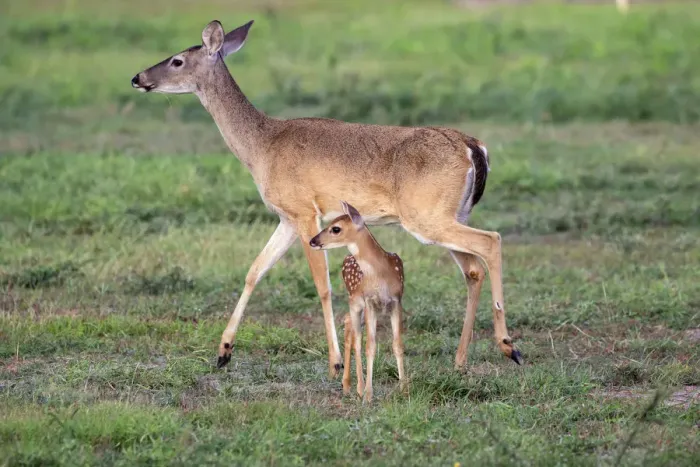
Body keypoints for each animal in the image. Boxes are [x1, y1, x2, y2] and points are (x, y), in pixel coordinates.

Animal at [130, 19, 523, 379]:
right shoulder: (286, 218)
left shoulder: (306, 212)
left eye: (178, 60)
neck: (262, 146)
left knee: (491, 241)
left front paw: (335, 363)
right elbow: (255, 270)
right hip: (449, 215)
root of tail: (473, 147)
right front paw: (223, 351)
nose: (137, 77)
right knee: (473, 269)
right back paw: (461, 360)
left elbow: (322, 285)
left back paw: (509, 346)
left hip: (427, 216)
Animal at [309, 201, 406, 402]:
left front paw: (404, 389)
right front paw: (368, 394)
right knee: (356, 337)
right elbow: (369, 346)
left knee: (349, 326)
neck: (380, 275)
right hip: (355, 301)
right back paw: (355, 387)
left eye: (335, 228)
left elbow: (397, 345)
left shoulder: (396, 301)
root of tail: (348, 257)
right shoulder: (369, 301)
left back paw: (350, 385)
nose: (312, 241)